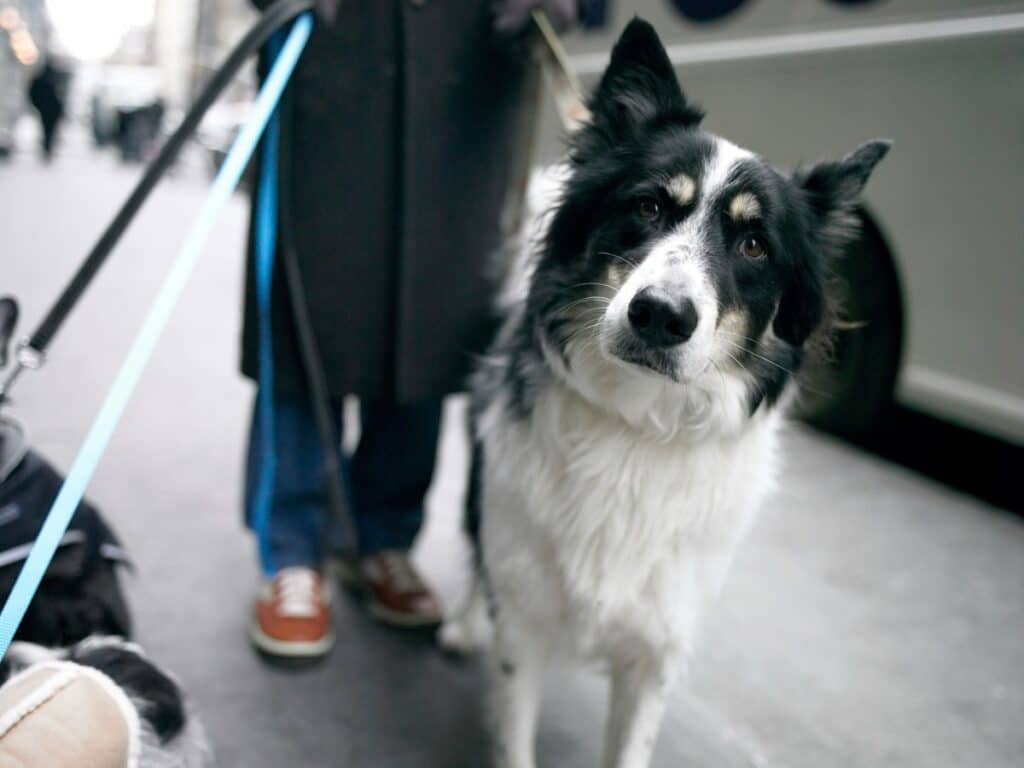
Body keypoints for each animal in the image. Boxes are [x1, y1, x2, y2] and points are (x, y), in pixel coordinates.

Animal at [440, 16, 888, 768]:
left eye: (755, 245)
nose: (661, 315)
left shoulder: (658, 647)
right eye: (648, 206)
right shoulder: (524, 629)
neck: (638, 425)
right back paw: (463, 622)